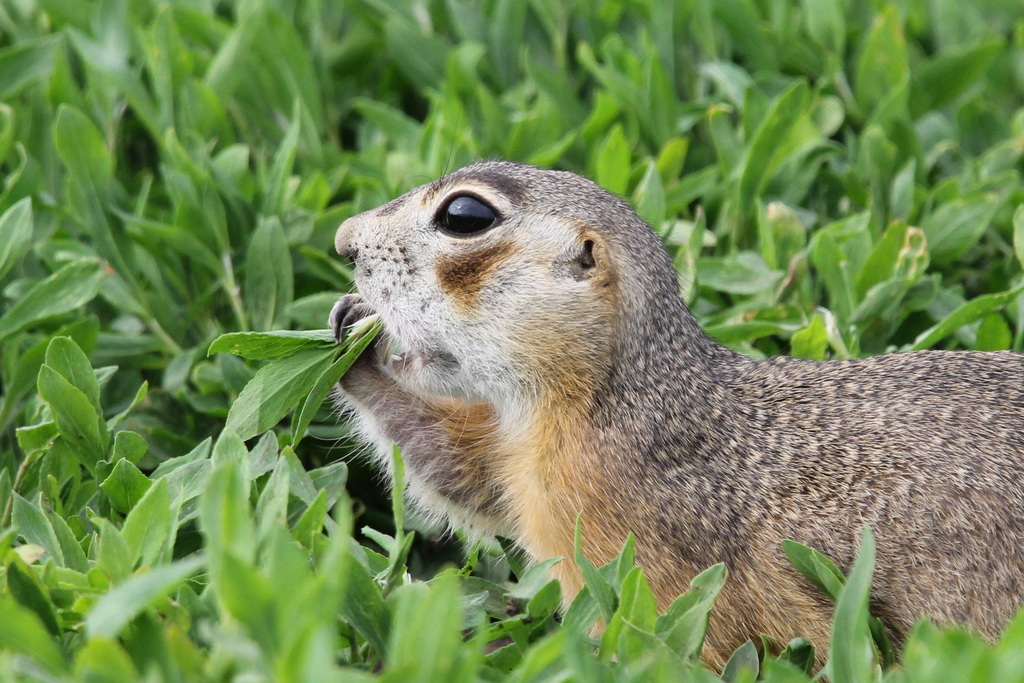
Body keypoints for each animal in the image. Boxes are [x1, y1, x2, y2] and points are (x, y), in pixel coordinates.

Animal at [329, 160, 1024, 667]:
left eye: (465, 215)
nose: (342, 242)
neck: (625, 397)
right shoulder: (520, 458)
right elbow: (465, 468)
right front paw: (353, 339)